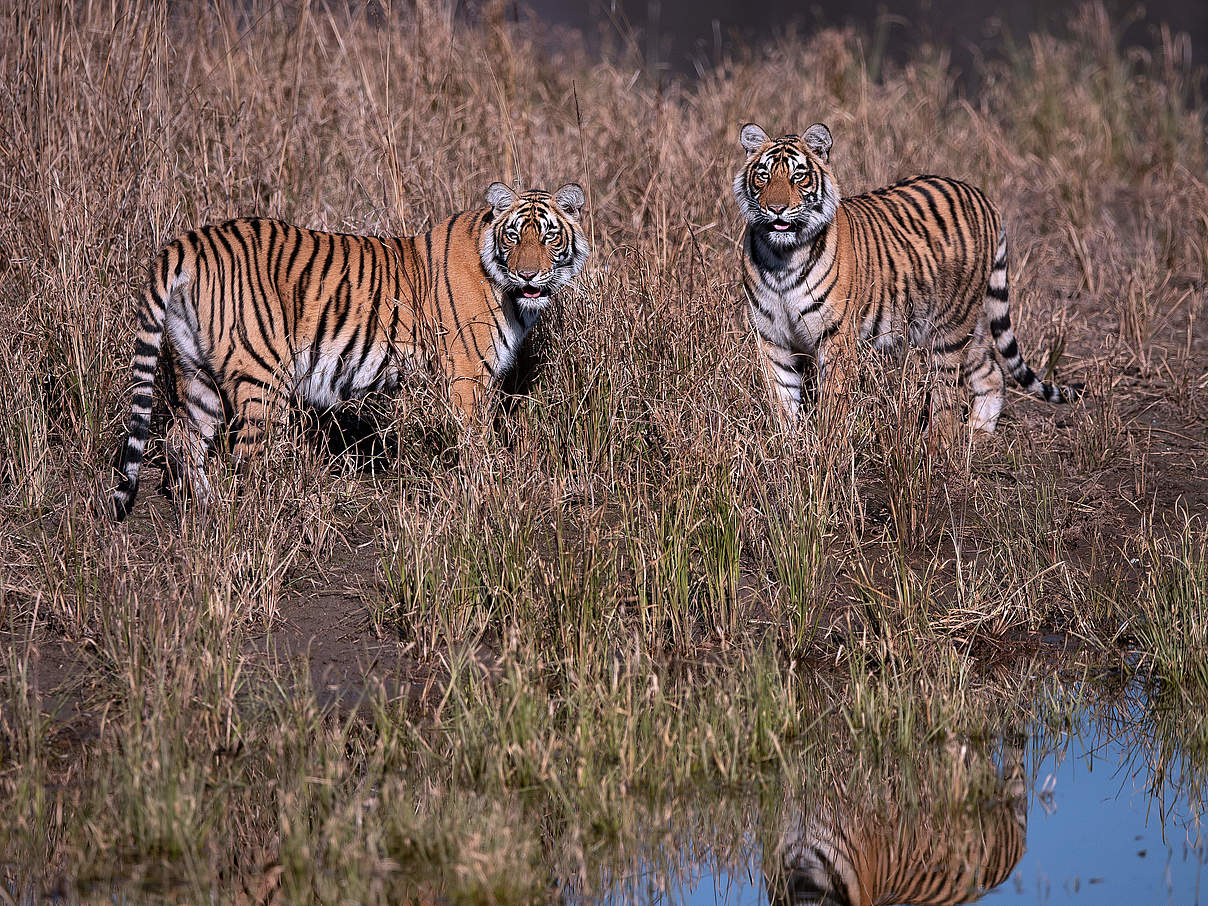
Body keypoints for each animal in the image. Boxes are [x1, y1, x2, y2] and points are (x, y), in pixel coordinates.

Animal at [106, 181, 589, 519]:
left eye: (549, 237)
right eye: (514, 236)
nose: (529, 275)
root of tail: (188, 242)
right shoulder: (466, 377)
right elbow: (477, 443)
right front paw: (488, 493)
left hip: (197, 371)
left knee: (180, 438)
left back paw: (208, 508)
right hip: (262, 377)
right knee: (247, 457)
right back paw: (263, 518)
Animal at [733, 122, 1081, 442]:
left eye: (798, 176)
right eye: (763, 175)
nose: (776, 208)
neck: (782, 258)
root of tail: (983, 197)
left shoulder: (835, 338)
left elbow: (834, 401)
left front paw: (828, 448)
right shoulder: (773, 339)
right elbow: (782, 398)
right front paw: (789, 447)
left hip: (951, 325)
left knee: (947, 394)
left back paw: (939, 446)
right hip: (972, 323)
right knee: (991, 371)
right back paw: (979, 432)